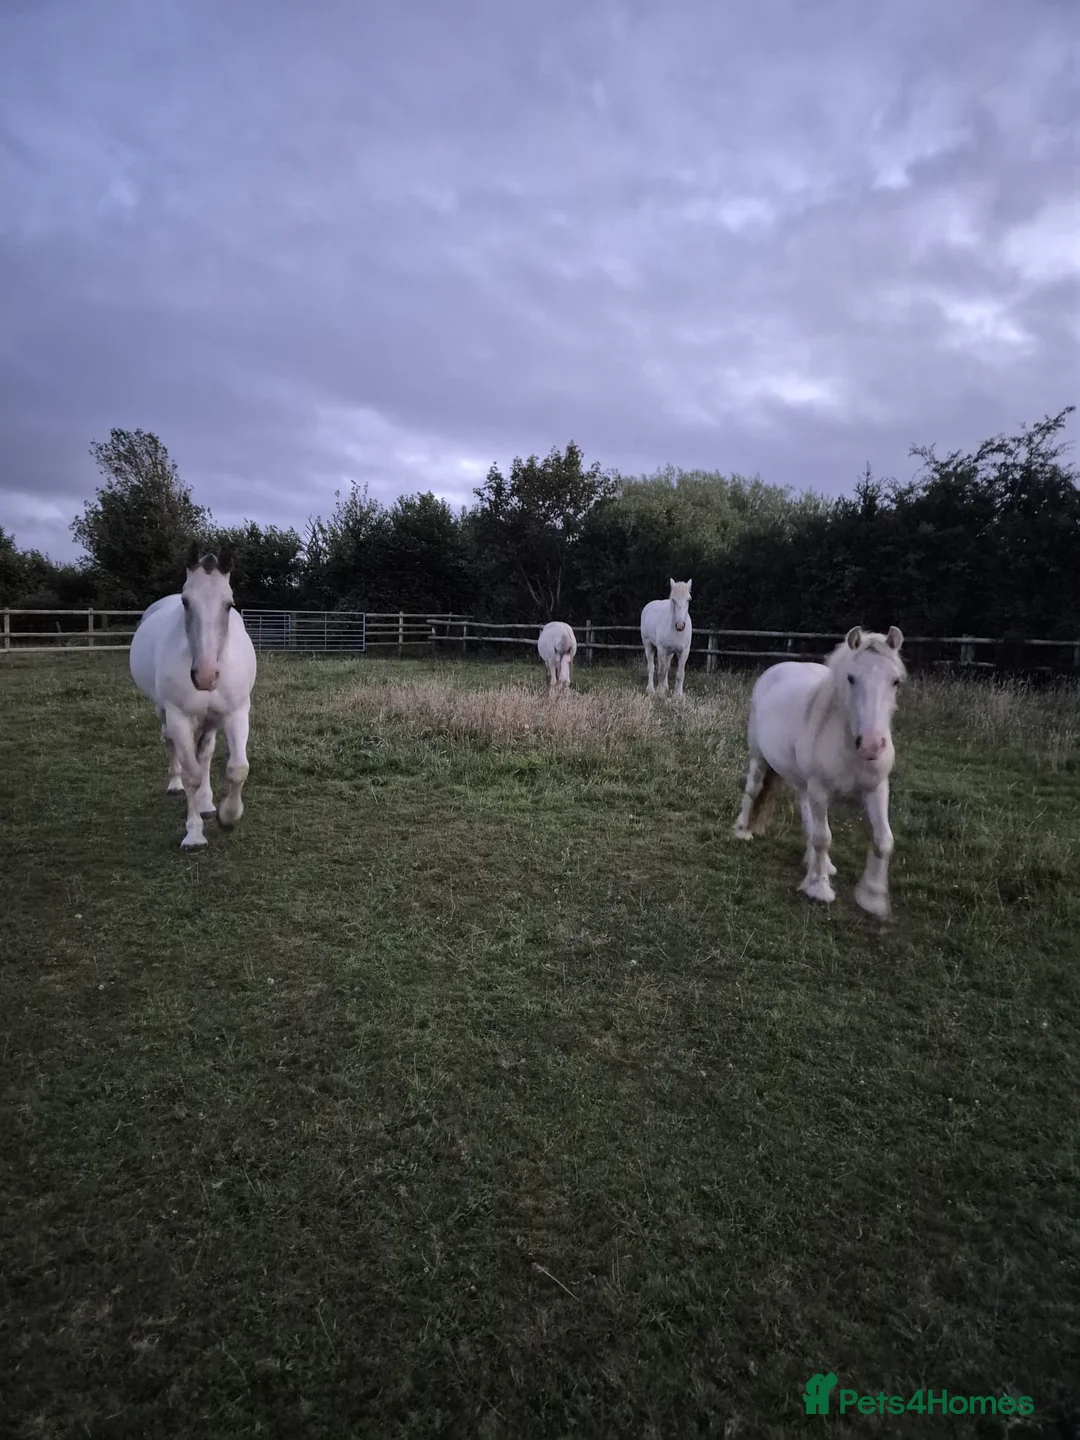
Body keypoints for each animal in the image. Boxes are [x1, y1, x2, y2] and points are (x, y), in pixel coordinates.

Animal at [129, 542, 258, 850]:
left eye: (229, 604)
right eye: (186, 602)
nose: (205, 676)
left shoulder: (237, 713)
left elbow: (237, 768)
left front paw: (228, 816)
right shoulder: (179, 717)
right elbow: (192, 774)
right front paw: (194, 834)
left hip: (211, 719)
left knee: (206, 754)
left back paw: (208, 804)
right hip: (163, 711)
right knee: (170, 743)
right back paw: (175, 785)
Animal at [732, 625, 906, 918]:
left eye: (895, 681)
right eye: (851, 678)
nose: (871, 744)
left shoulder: (876, 787)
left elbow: (883, 840)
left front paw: (872, 896)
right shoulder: (820, 789)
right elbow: (823, 837)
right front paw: (819, 889)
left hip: (805, 783)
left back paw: (818, 863)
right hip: (759, 756)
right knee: (753, 789)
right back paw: (742, 830)